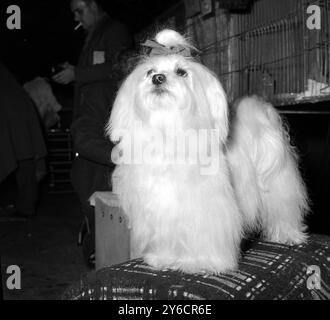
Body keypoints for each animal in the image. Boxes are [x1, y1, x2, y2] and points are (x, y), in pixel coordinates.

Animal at [106, 29, 310, 272]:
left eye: (181, 72)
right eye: (150, 72)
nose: (158, 78)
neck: (167, 130)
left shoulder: (207, 206)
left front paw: (202, 263)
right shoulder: (158, 207)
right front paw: (163, 258)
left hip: (279, 185)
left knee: (284, 210)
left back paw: (288, 235)